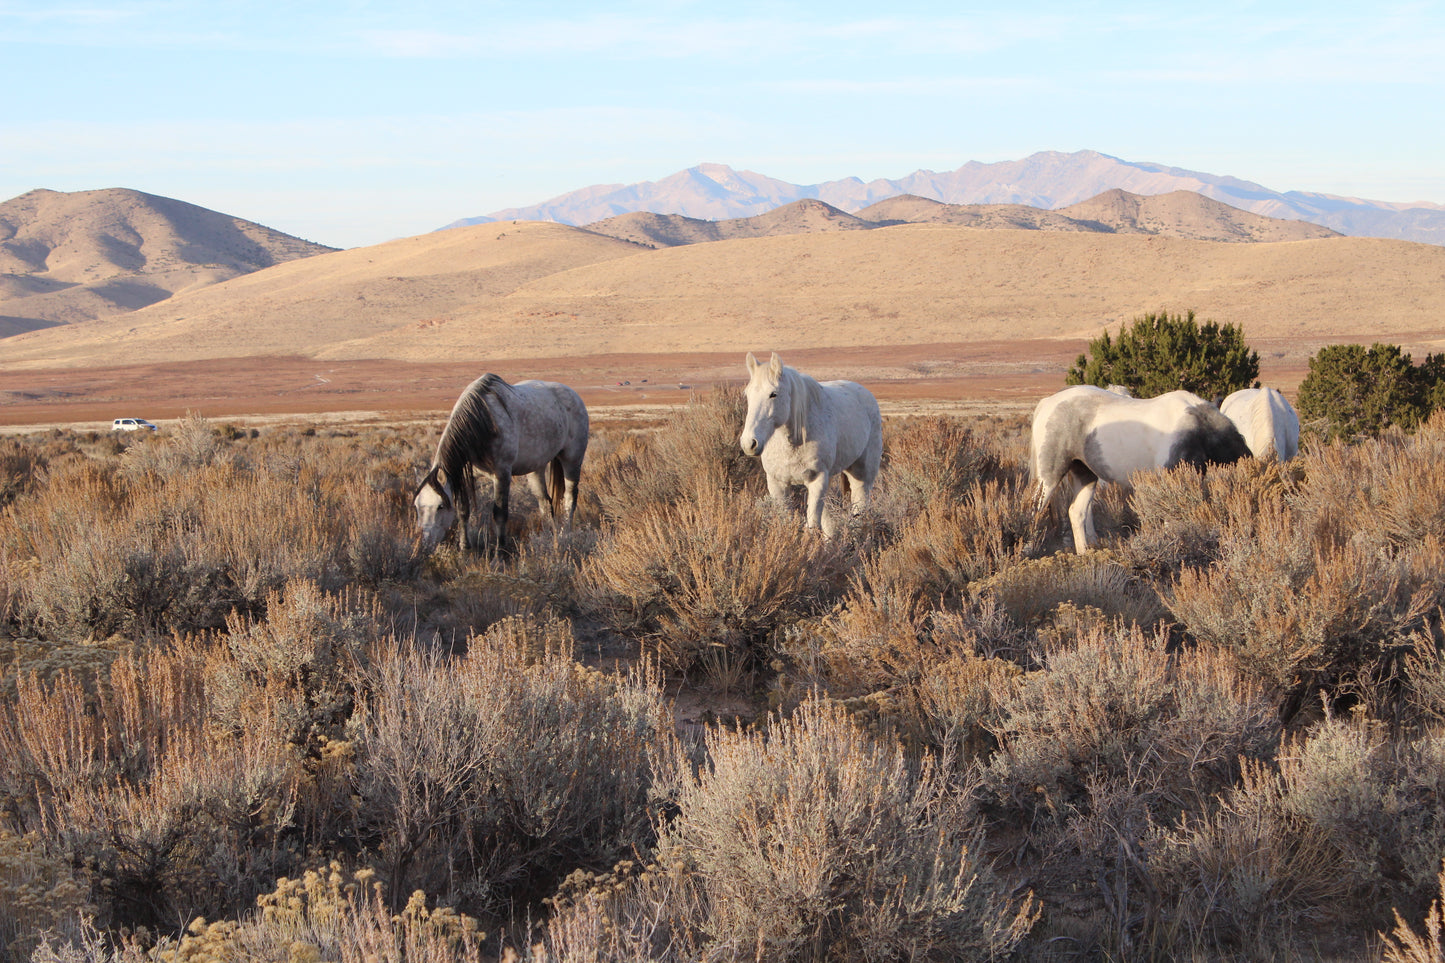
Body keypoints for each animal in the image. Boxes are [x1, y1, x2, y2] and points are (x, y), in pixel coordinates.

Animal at [413, 373, 586, 546]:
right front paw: (464, 547)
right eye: (416, 506)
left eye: (440, 506)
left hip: (572, 461)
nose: (425, 542)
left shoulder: (502, 474)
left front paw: (500, 550)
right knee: (545, 503)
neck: (482, 422)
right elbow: (463, 510)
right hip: (536, 468)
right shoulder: (465, 476)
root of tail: (574, 395)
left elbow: (500, 514)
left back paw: (565, 534)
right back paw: (548, 537)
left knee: (570, 498)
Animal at [745, 351, 878, 535]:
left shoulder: (817, 480)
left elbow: (813, 525)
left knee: (860, 507)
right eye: (747, 394)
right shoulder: (777, 484)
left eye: (773, 394)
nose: (749, 443)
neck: (793, 441)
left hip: (862, 473)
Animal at [1028, 381, 1254, 546]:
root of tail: (1047, 403)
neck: (1199, 428)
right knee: (1034, 510)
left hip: (1085, 473)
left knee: (1077, 512)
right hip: (1049, 476)